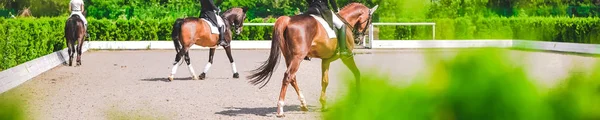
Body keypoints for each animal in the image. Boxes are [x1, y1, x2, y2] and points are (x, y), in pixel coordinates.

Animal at [246, 2, 378, 117]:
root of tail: (288, 20)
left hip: (289, 56)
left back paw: (303, 104)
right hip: (298, 57)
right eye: (370, 20)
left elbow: (325, 81)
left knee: (293, 78)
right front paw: (358, 99)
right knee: (288, 76)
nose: (358, 39)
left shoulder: (326, 60)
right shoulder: (346, 57)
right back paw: (280, 109)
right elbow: (357, 73)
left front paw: (324, 104)